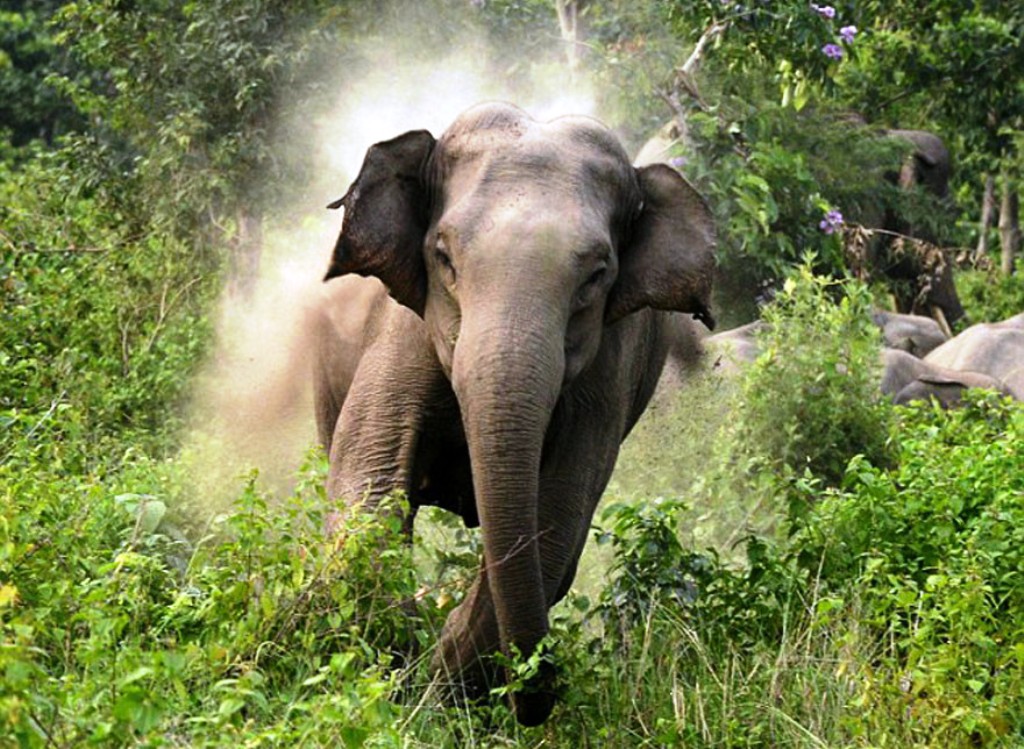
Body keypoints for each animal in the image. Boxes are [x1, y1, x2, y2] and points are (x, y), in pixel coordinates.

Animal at [316, 102, 716, 725]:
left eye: (597, 274)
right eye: (444, 257)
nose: (538, 699)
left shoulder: (607, 375)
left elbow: (556, 519)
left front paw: (443, 688)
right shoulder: (402, 330)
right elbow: (370, 481)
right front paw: (399, 665)